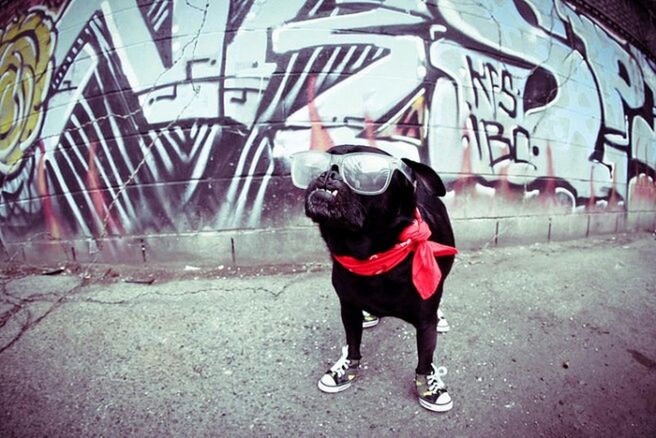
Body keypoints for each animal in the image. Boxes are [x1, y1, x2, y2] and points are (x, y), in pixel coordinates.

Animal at [292, 145, 456, 414]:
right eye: (315, 166)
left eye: (366, 177)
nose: (328, 174)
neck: (372, 256)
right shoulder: (348, 308)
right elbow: (353, 343)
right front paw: (346, 369)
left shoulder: (425, 323)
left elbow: (425, 358)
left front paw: (428, 386)